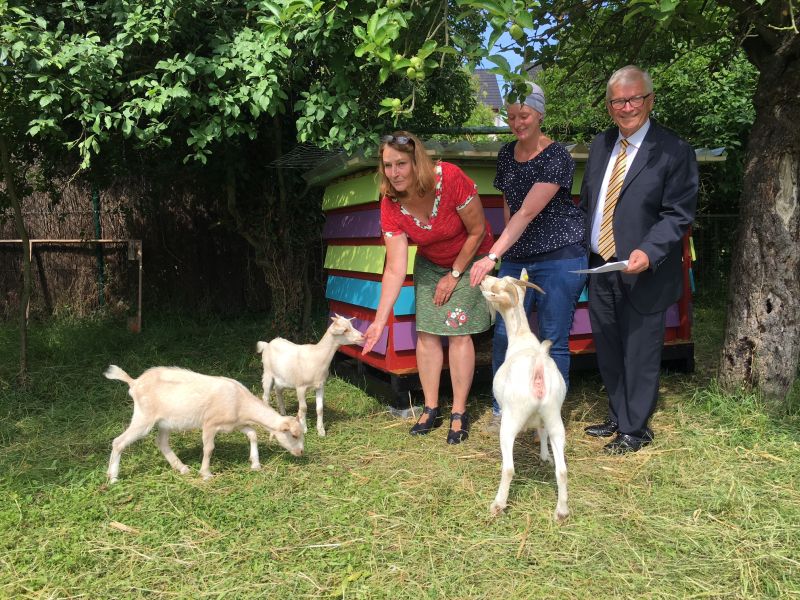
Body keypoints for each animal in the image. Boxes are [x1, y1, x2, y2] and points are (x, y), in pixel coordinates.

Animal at [103, 364, 304, 486]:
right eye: (293, 435)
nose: (301, 452)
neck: (239, 401)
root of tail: (134, 382)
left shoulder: (236, 424)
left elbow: (252, 434)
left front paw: (255, 463)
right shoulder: (210, 424)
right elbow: (209, 448)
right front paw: (206, 473)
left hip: (165, 422)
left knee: (161, 442)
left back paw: (182, 468)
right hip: (144, 418)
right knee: (118, 442)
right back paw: (113, 477)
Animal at [482, 272, 568, 520]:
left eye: (494, 286)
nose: (484, 276)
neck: (521, 337)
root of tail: (538, 366)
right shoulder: (543, 417)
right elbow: (541, 431)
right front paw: (544, 455)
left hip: (512, 417)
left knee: (509, 468)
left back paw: (498, 504)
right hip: (554, 414)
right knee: (562, 470)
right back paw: (561, 511)